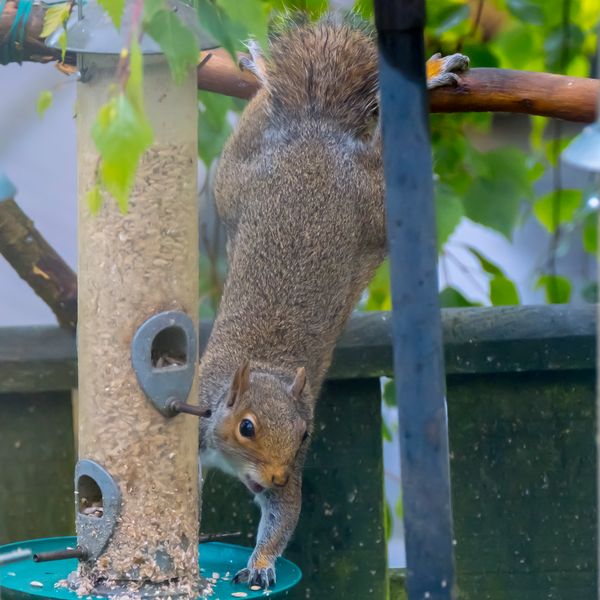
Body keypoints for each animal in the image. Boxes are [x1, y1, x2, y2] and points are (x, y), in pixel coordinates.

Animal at [198, 15, 468, 592]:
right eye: (247, 427)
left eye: (305, 433)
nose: (274, 475)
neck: (265, 370)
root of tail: (317, 133)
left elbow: (285, 513)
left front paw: (261, 562)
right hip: (236, 181)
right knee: (264, 112)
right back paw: (259, 70)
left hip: (372, 205)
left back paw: (428, 75)